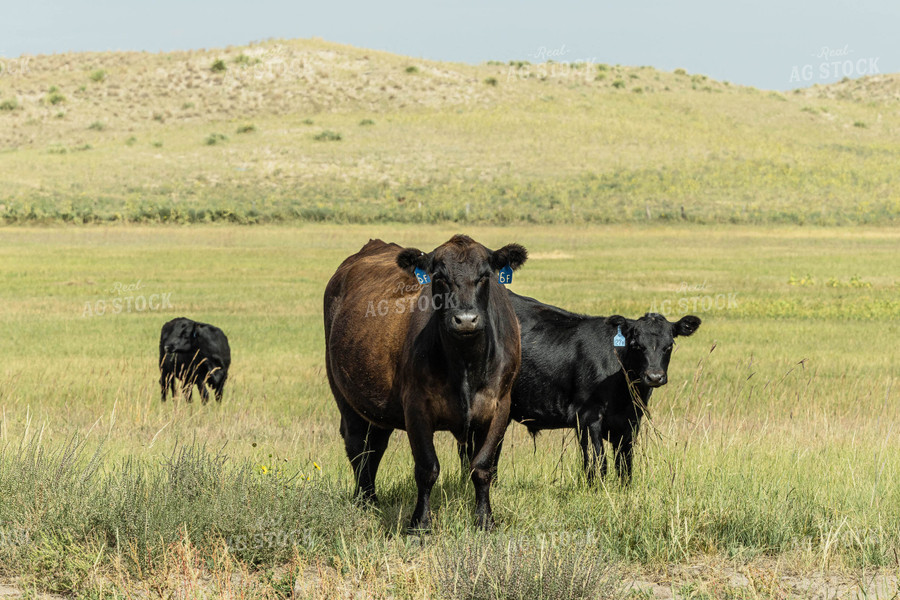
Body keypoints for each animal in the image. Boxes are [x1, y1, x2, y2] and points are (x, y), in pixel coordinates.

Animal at [326, 234, 528, 528]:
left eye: (484, 276)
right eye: (440, 277)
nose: (465, 320)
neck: (465, 364)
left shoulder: (500, 405)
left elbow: (482, 467)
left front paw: (485, 520)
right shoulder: (416, 407)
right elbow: (427, 468)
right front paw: (420, 523)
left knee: (375, 445)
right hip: (344, 394)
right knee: (358, 446)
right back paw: (366, 500)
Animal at [464, 292, 704, 486]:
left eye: (669, 345)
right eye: (637, 344)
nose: (654, 376)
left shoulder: (631, 421)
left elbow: (625, 467)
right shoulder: (588, 417)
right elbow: (597, 464)